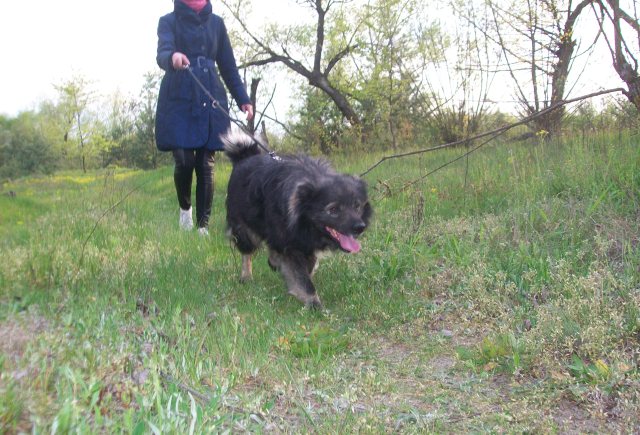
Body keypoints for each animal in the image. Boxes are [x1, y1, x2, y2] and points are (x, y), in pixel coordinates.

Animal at [222, 129, 372, 308]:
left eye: (357, 206)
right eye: (333, 209)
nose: (360, 227)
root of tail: (243, 157)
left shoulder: (305, 244)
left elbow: (308, 267)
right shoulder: (290, 245)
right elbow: (303, 279)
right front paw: (314, 304)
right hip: (245, 230)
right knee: (247, 253)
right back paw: (246, 276)